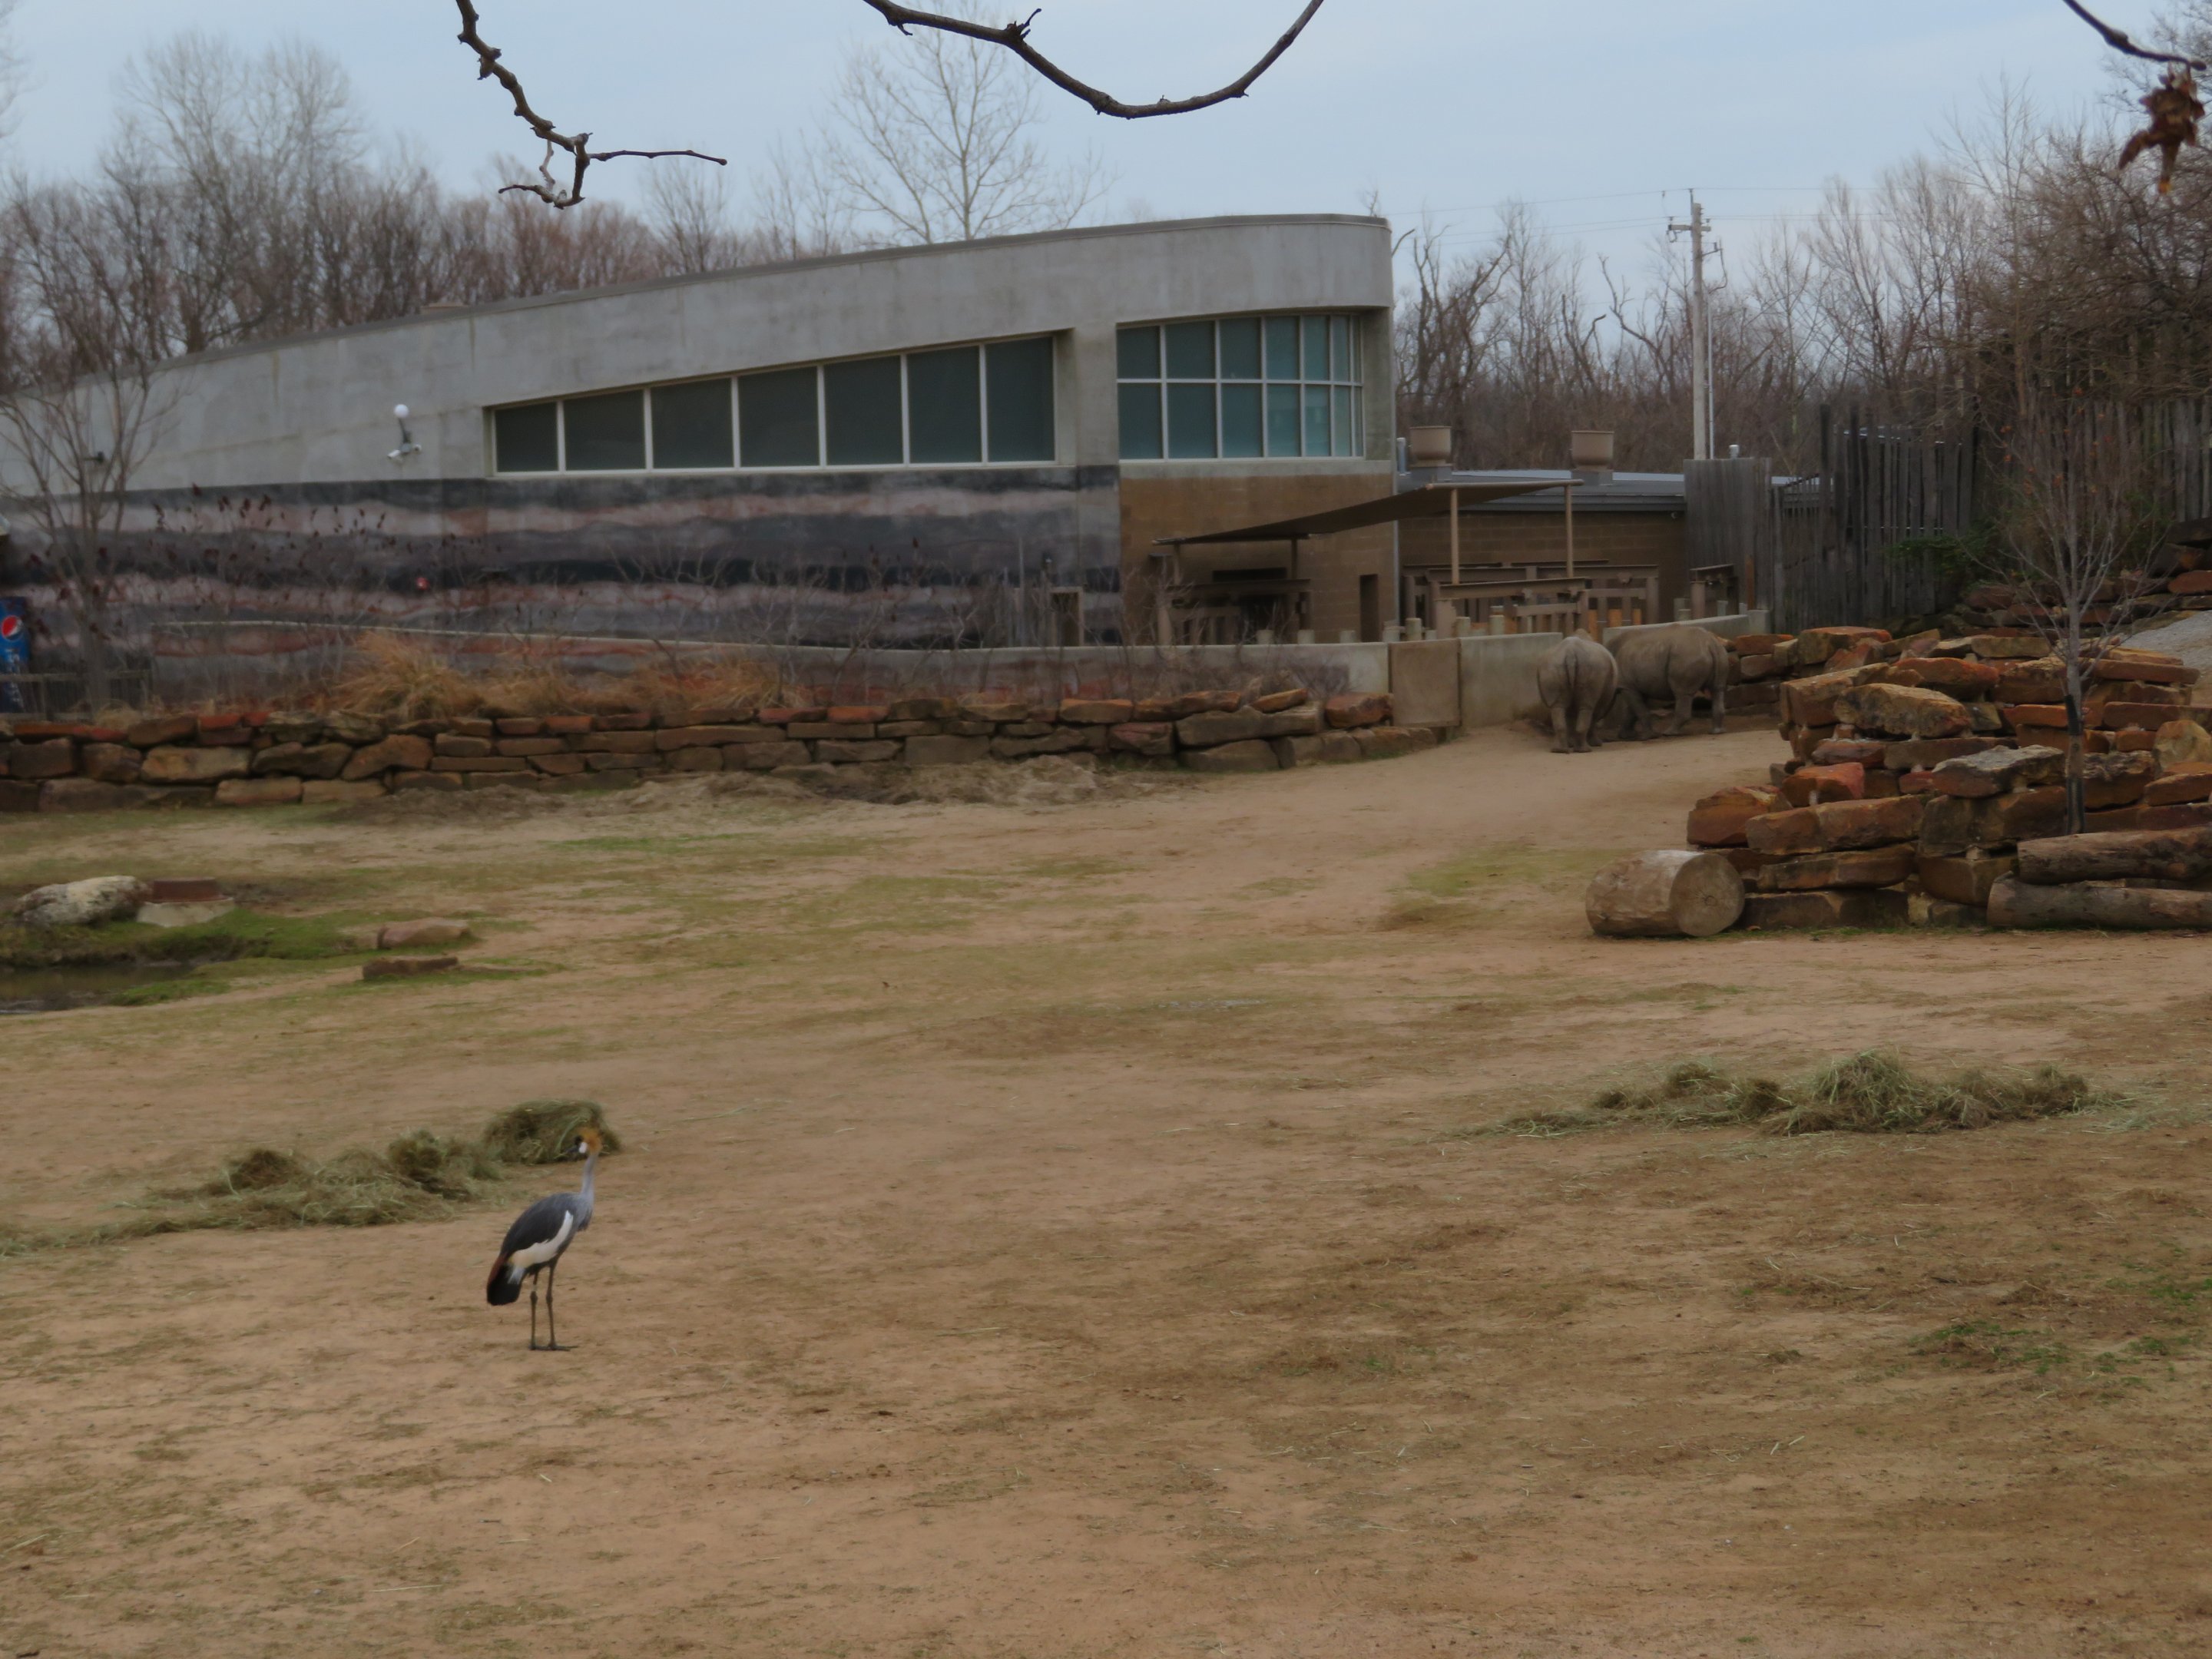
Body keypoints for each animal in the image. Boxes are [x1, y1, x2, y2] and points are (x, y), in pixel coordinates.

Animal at [1536, 633, 1619, 753]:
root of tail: (1570, 652)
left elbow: (1570, 718)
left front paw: (1571, 744)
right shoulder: (1600, 703)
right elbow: (1593, 718)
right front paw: (1597, 744)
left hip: (1552, 666)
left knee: (1558, 707)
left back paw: (1559, 750)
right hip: (1592, 667)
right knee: (1586, 708)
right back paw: (1585, 750)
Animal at [1609, 623, 1732, 738]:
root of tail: (1710, 643)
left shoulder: (1627, 686)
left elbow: (1638, 710)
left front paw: (1647, 737)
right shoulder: (1635, 686)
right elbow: (1632, 711)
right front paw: (1626, 736)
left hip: (1687, 656)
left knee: (1682, 694)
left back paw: (1669, 733)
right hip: (1720, 654)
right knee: (1717, 689)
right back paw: (1717, 732)